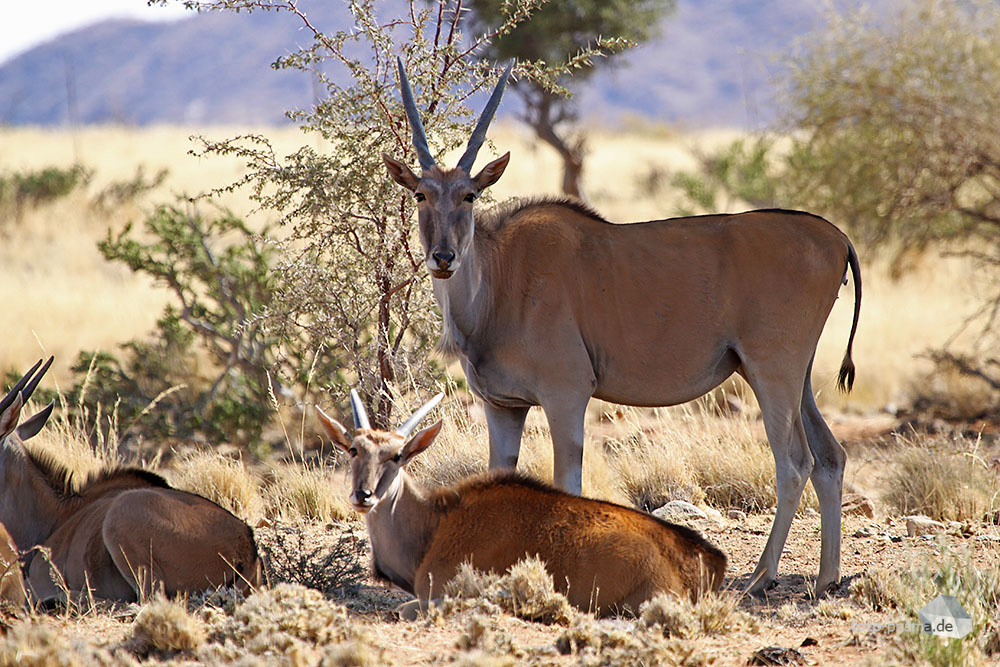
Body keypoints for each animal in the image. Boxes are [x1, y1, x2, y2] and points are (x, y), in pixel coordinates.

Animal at [316, 392, 724, 616]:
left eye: (397, 455)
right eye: (354, 449)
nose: (363, 495)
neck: (437, 522)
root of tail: (705, 558)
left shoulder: (435, 595)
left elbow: (404, 609)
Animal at [382, 61, 860, 596]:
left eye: (469, 195)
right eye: (421, 194)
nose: (443, 257)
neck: (502, 277)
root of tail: (835, 237)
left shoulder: (567, 395)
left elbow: (567, 486)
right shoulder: (503, 408)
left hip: (772, 373)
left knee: (795, 462)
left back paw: (760, 576)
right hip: (796, 380)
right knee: (830, 457)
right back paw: (826, 578)